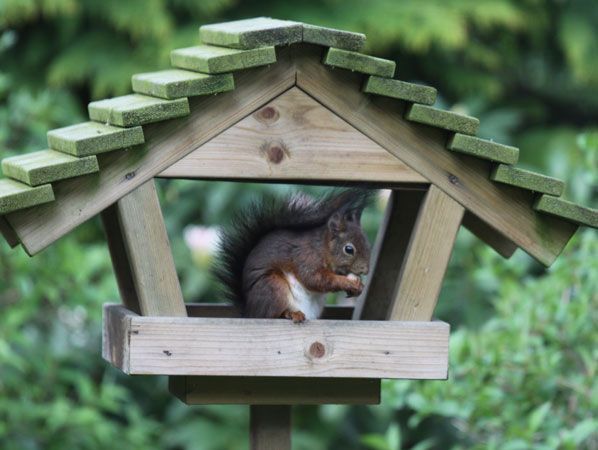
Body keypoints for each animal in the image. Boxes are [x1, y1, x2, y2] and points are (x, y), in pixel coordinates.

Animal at [214, 188, 376, 322]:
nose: (365, 270)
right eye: (349, 249)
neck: (322, 248)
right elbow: (315, 279)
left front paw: (359, 287)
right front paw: (347, 282)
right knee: (273, 315)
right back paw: (291, 314)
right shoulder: (305, 257)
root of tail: (250, 312)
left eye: (367, 242)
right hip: (273, 287)